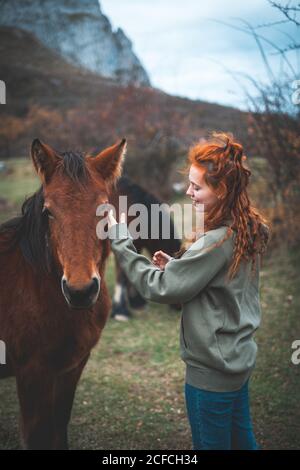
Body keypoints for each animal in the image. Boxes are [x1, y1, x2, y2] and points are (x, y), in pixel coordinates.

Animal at [0, 136, 125, 448]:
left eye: (104, 210)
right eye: (48, 211)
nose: (80, 291)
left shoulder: (70, 370)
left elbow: (59, 429)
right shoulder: (32, 375)